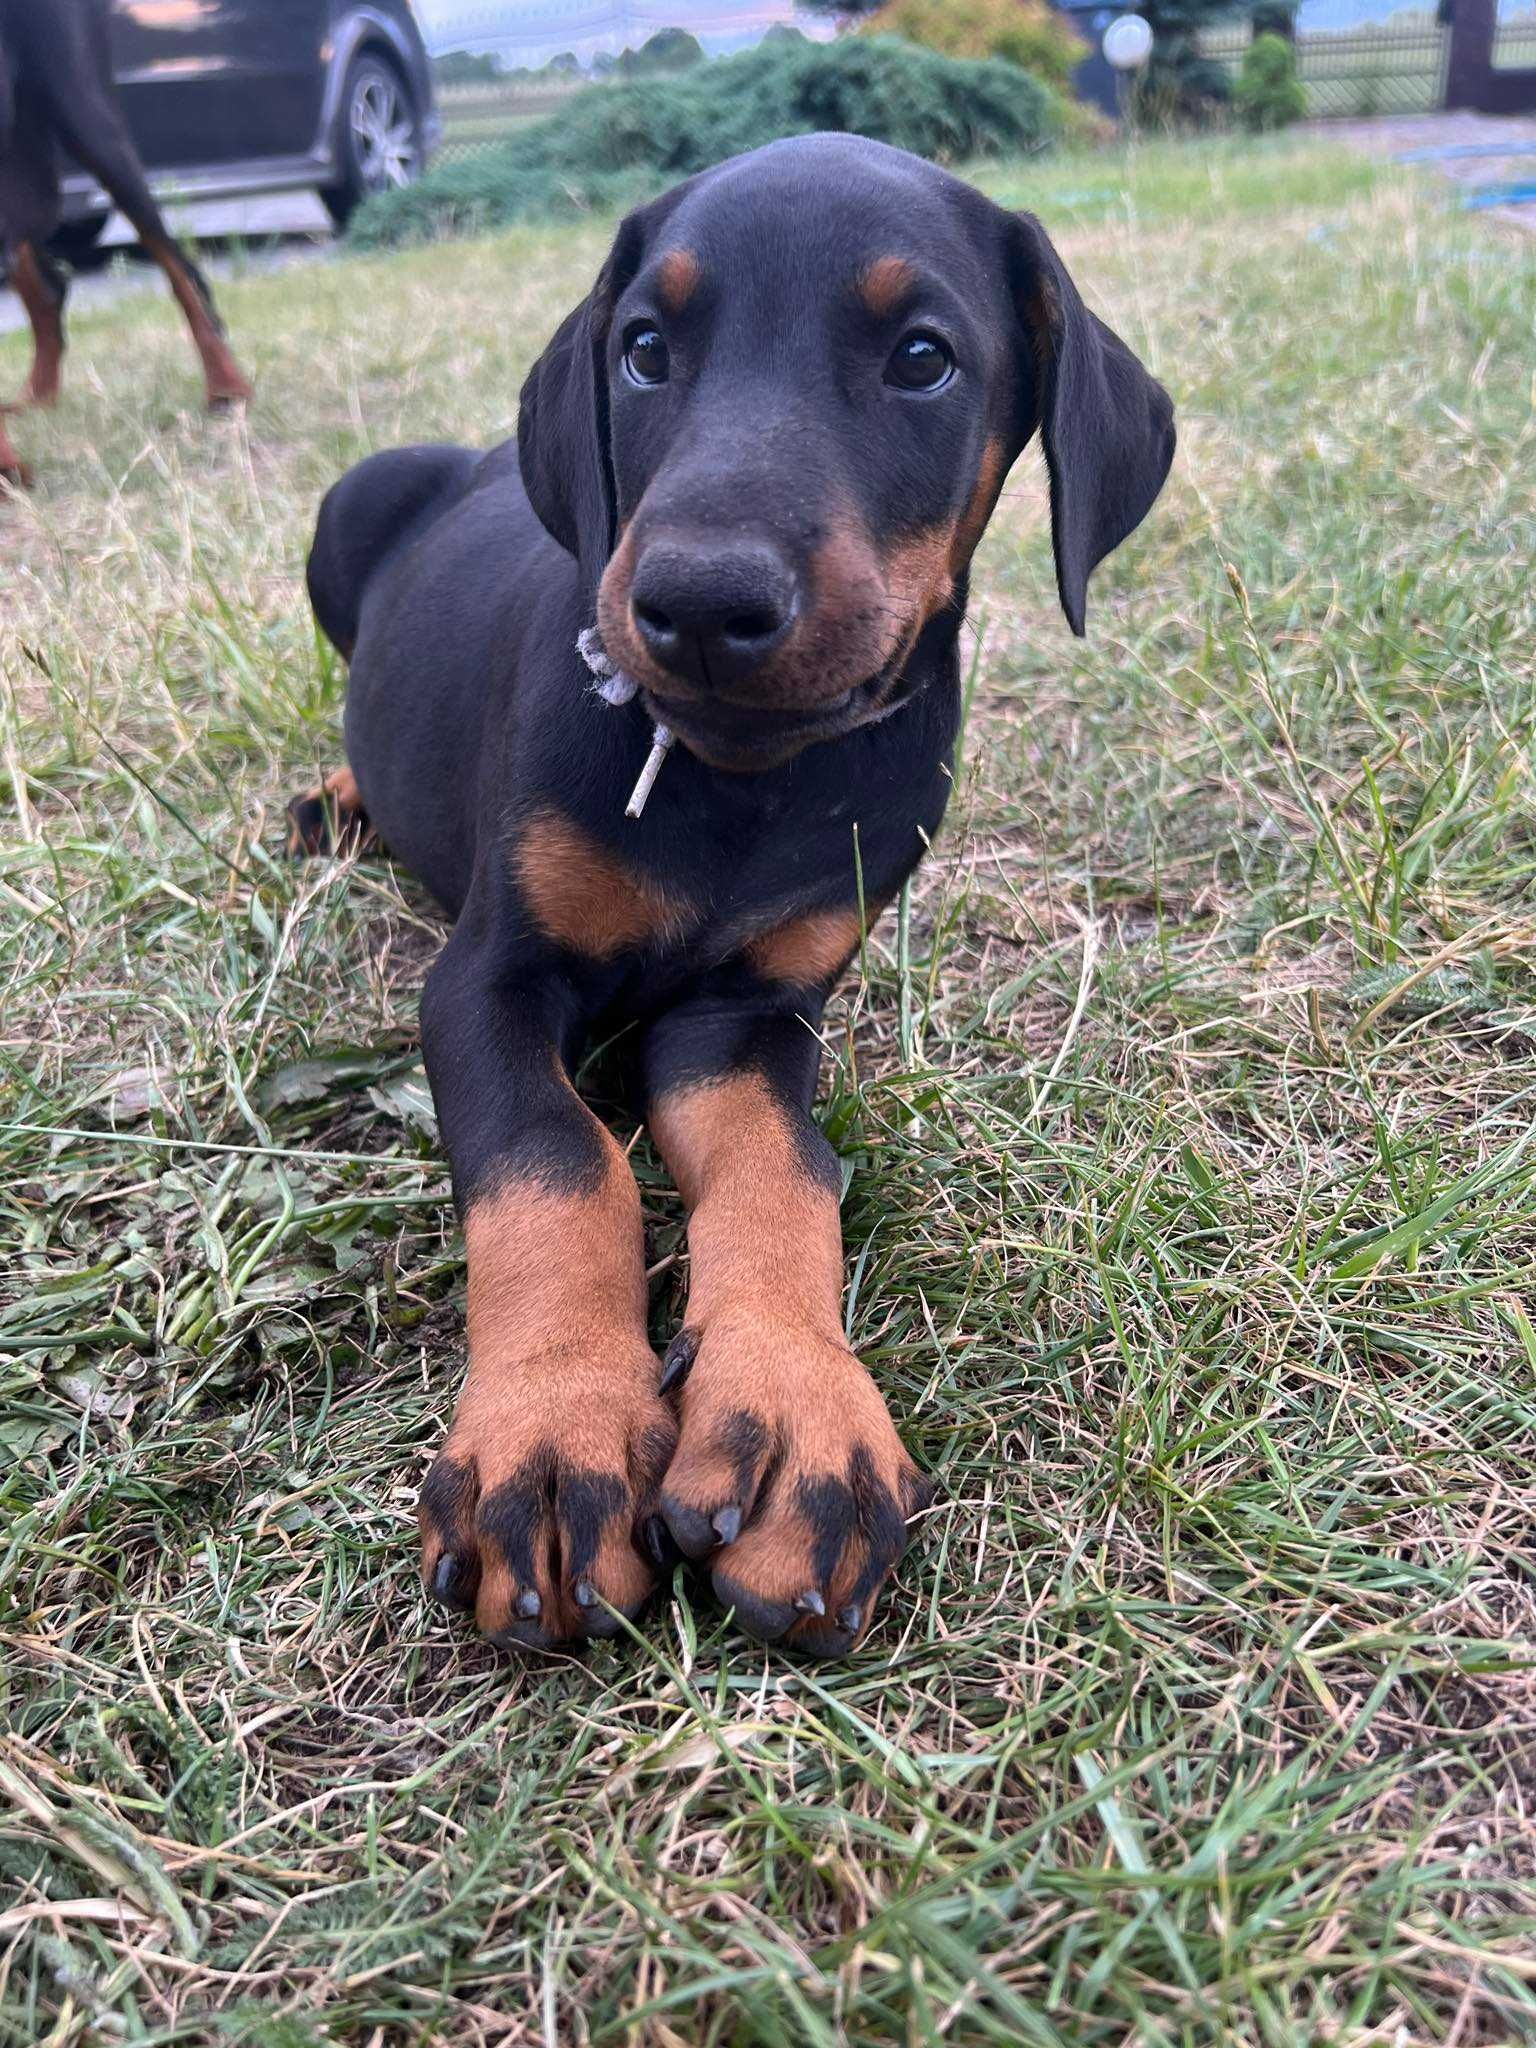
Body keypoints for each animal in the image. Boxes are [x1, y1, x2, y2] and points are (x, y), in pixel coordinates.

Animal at [301, 132, 1179, 1662]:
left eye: (924, 359)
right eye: (646, 350)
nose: (701, 602)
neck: (736, 782)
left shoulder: (750, 1014)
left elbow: (783, 1171)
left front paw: (790, 1413)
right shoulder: (483, 976)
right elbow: (557, 1157)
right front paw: (556, 1428)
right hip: (346, 504)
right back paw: (336, 799)